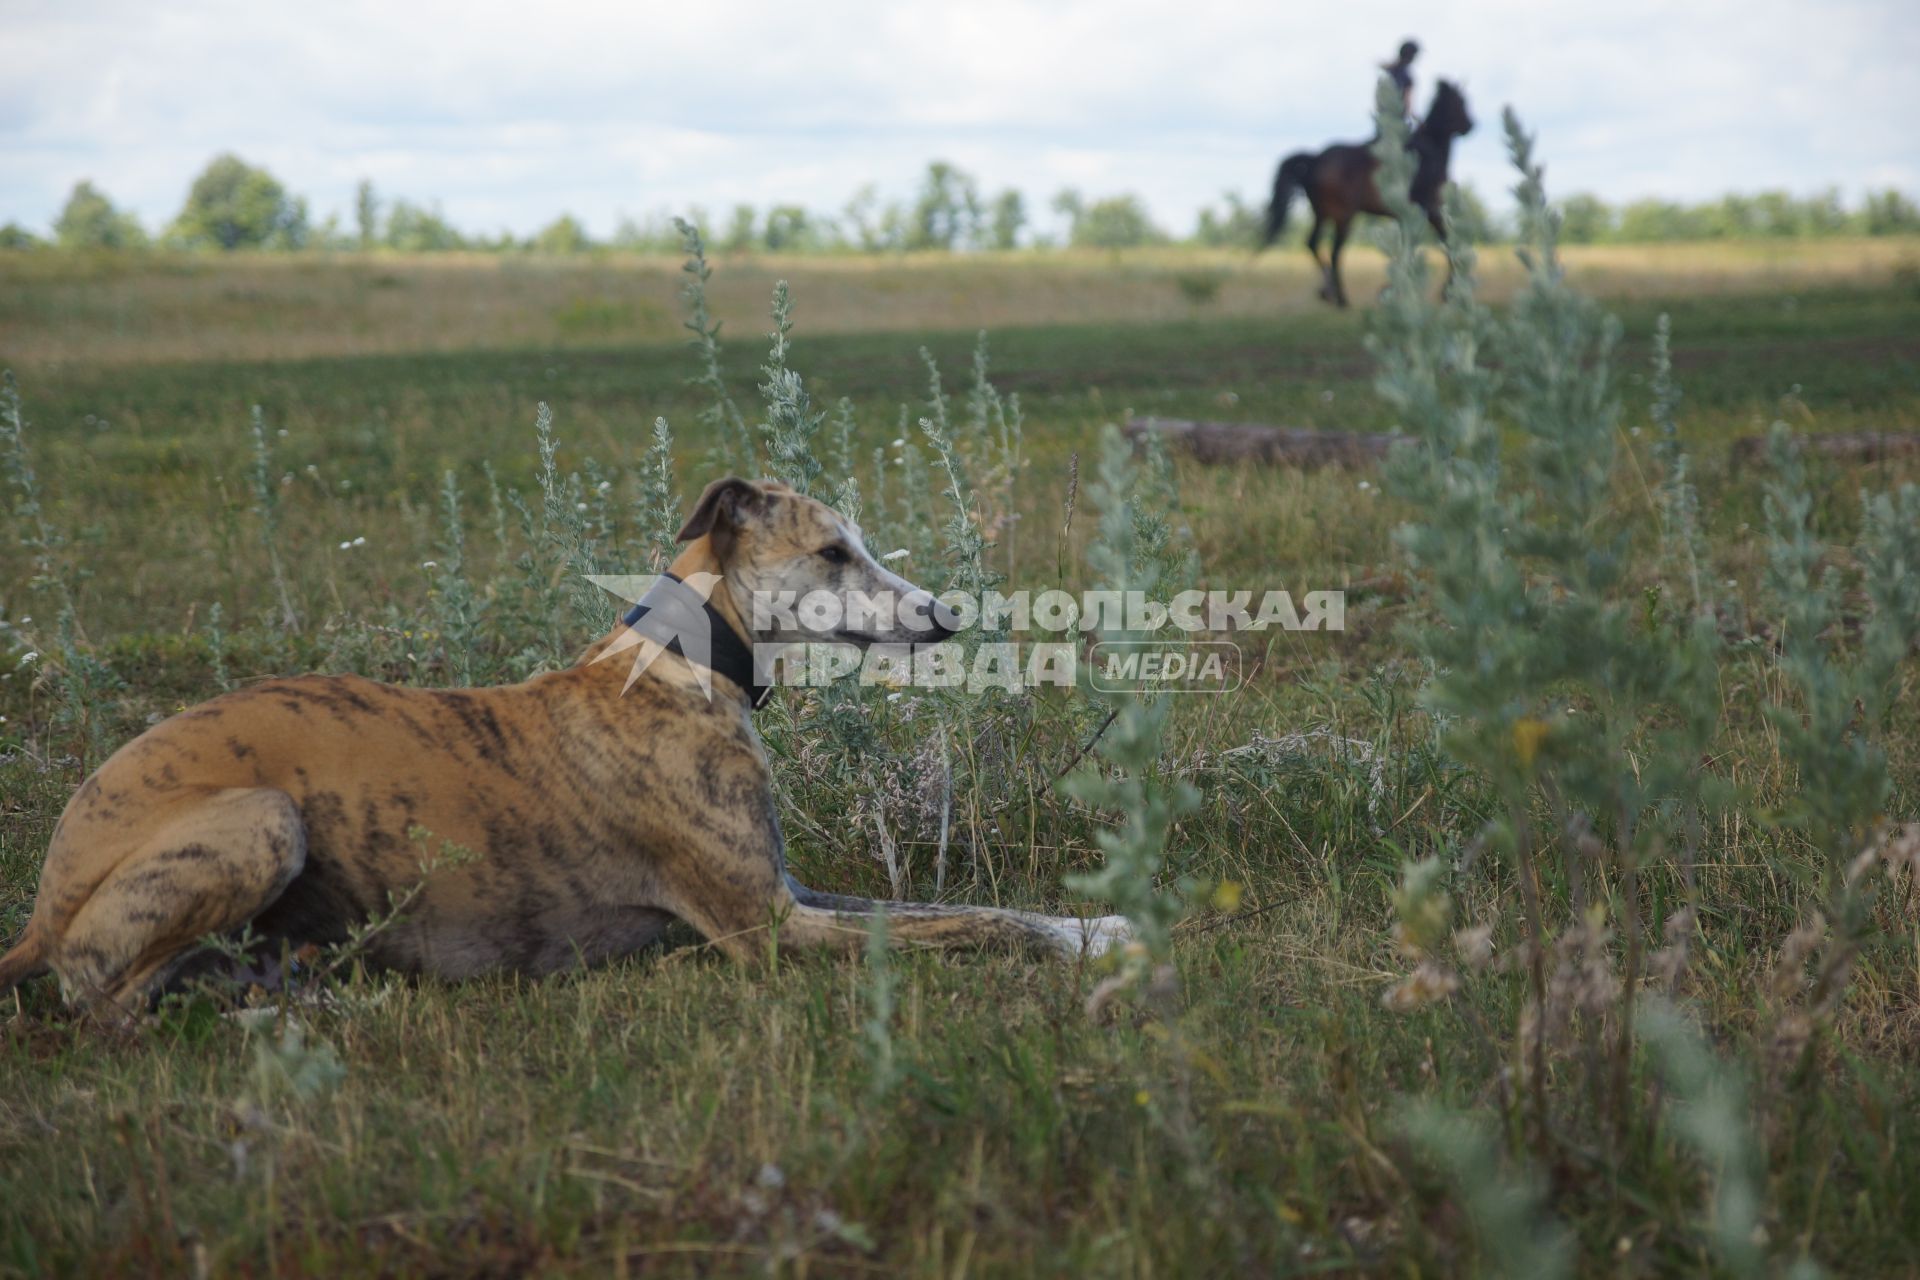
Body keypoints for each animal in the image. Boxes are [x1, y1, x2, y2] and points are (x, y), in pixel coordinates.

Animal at [1267, 82, 1474, 307]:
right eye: (1459, 102)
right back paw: (1341, 298)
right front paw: (1444, 291)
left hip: (1321, 213)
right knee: (1335, 251)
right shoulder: (1429, 210)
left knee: (1312, 243)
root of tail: (1316, 159)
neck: (1430, 150)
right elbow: (1446, 243)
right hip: (1343, 216)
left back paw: (1327, 291)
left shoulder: (1410, 216)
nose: (1470, 125)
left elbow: (1410, 247)